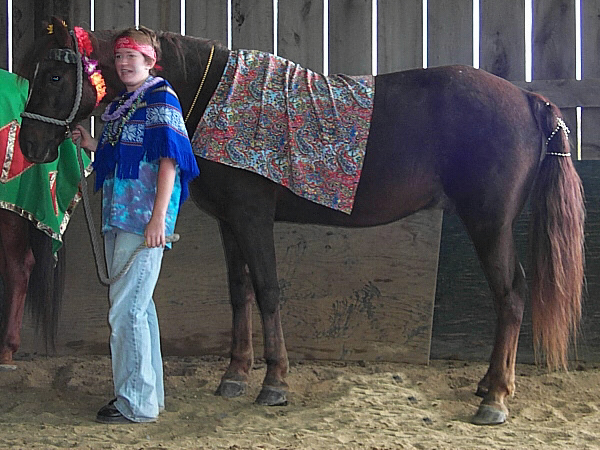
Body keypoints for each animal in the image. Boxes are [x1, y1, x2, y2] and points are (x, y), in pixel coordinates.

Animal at [18, 17, 585, 425]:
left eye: (54, 74)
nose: (31, 145)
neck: (212, 95)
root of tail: (530, 98)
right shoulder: (229, 223)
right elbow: (239, 293)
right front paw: (235, 375)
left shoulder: (252, 218)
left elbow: (268, 291)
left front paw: (274, 384)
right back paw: (489, 386)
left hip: (490, 223)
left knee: (511, 294)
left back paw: (495, 399)